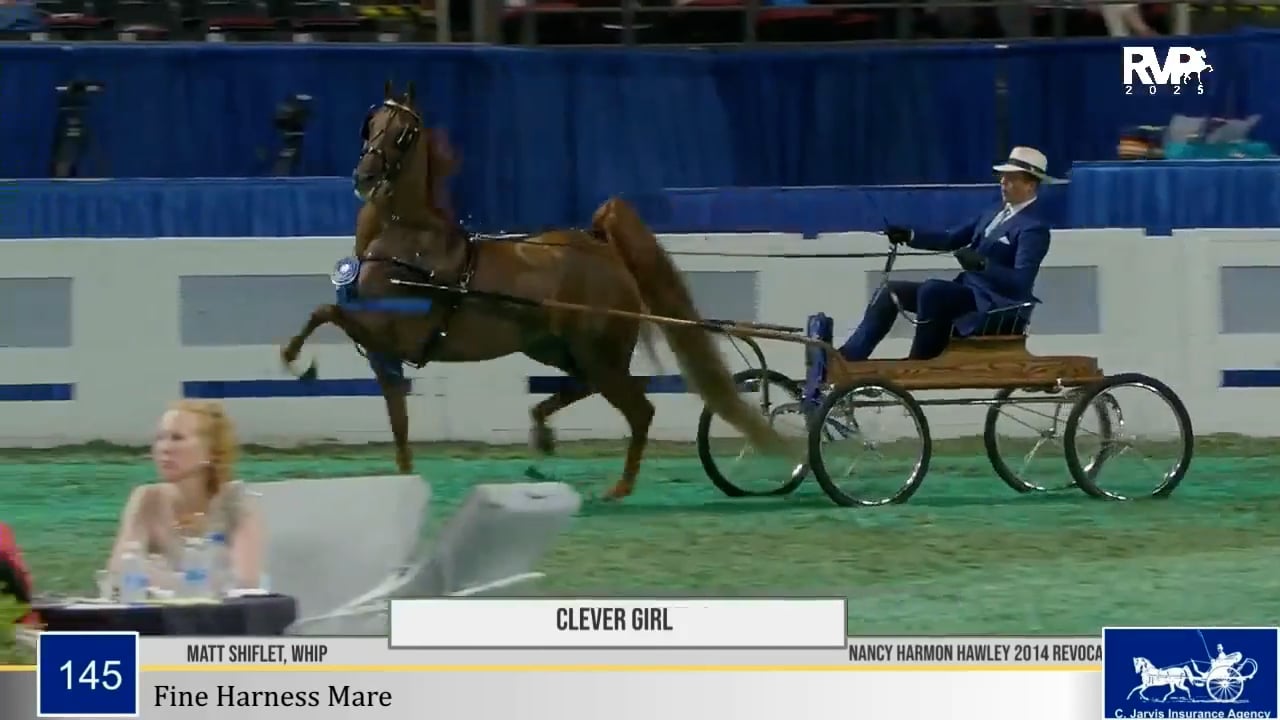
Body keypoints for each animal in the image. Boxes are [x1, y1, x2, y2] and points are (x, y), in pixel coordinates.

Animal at [279, 80, 792, 500]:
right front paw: (404, 479)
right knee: (589, 389)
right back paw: (543, 431)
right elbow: (398, 421)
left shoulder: (391, 336)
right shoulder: (384, 352)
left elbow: (323, 312)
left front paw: (296, 361)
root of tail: (601, 246)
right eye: (371, 124)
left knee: (639, 409)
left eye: (404, 132)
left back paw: (618, 487)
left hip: (596, 352)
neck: (409, 244)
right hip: (556, 348)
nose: (363, 177)